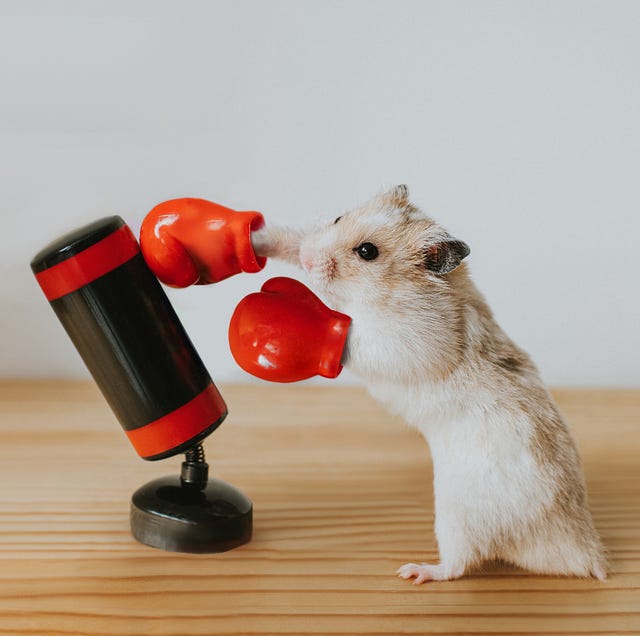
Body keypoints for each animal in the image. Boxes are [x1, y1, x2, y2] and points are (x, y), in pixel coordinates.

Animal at [250, 186, 604, 584]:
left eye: (367, 252)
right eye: (339, 218)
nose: (310, 260)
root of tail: (583, 550)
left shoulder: (408, 339)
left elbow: (354, 338)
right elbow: (292, 239)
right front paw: (255, 241)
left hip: (458, 517)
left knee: (461, 563)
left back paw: (414, 571)